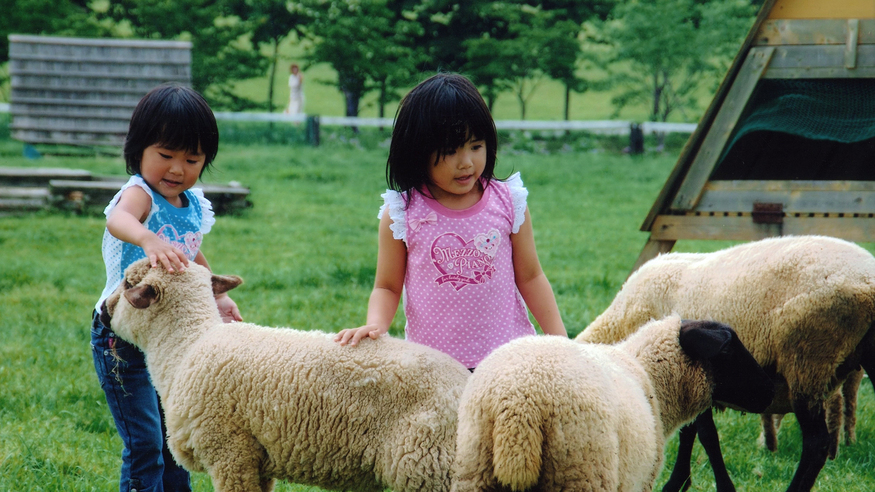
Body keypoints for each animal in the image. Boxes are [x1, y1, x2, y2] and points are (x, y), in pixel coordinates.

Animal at [101, 258, 472, 492]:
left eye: (128, 282)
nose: (103, 310)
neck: (186, 346)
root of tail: (468, 385)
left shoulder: (229, 452)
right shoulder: (257, 459)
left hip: (430, 465)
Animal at [452, 316, 772, 492]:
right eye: (729, 350)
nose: (771, 392)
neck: (649, 376)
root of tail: (520, 406)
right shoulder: (641, 481)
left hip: (474, 470)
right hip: (581, 472)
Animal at [580, 235, 875, 492]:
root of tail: (867, 281)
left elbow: (706, 436)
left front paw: (711, 485)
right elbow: (690, 432)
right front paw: (679, 482)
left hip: (808, 360)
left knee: (816, 443)